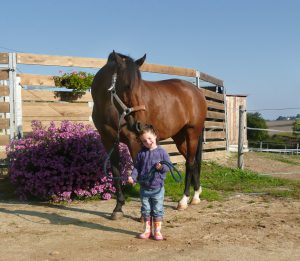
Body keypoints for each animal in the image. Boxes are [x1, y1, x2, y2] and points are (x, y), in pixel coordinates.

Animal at [91, 51, 207, 219]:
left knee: (190, 163)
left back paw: (184, 200)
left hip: (192, 133)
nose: (139, 124)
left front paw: (143, 214)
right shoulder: (108, 141)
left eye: (140, 87)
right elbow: (116, 171)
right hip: (179, 137)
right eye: (127, 86)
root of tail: (197, 91)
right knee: (192, 162)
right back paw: (196, 195)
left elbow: (141, 174)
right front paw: (118, 208)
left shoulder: (134, 141)